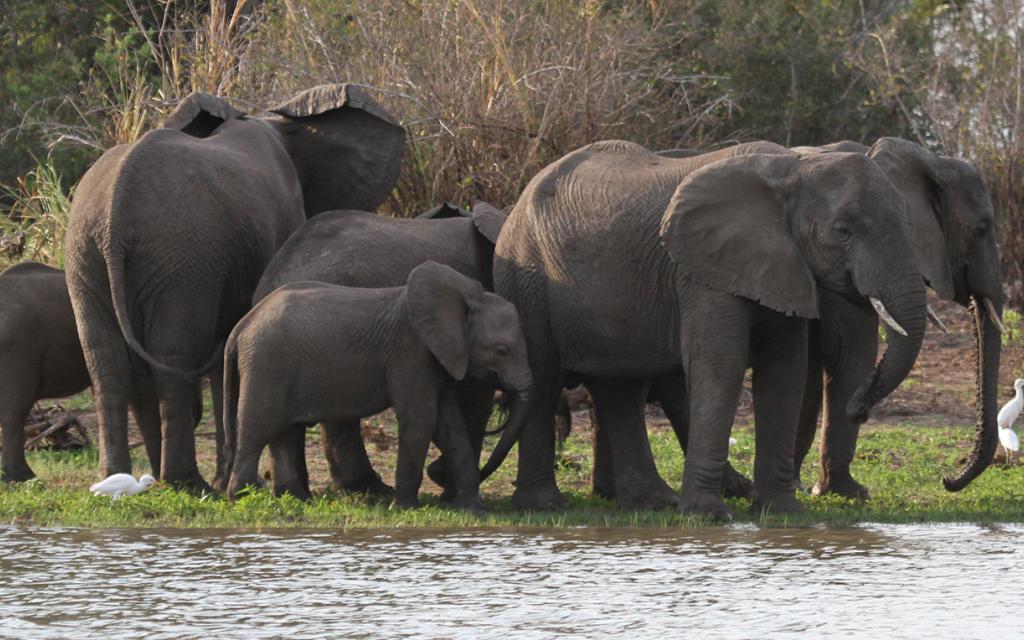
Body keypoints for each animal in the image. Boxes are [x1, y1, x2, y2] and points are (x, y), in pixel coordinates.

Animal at [64, 82, 403, 487]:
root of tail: (115, 213)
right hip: (180, 256)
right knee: (174, 356)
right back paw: (187, 483)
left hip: (86, 256)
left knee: (106, 364)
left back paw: (123, 477)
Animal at [225, 260, 536, 509]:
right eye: (502, 351)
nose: (504, 398)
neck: (466, 297)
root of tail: (242, 325)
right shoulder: (410, 352)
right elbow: (422, 420)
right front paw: (404, 508)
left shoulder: (440, 357)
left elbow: (449, 425)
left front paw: (471, 508)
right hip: (266, 365)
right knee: (257, 430)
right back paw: (241, 498)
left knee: (284, 434)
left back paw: (297, 500)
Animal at [495, 139, 929, 514]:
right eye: (842, 232)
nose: (859, 410)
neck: (794, 167)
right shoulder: (701, 271)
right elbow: (721, 363)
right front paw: (708, 515)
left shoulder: (784, 265)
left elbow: (784, 370)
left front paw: (782, 511)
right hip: (526, 279)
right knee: (545, 376)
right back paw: (544, 506)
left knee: (617, 386)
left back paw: (653, 503)